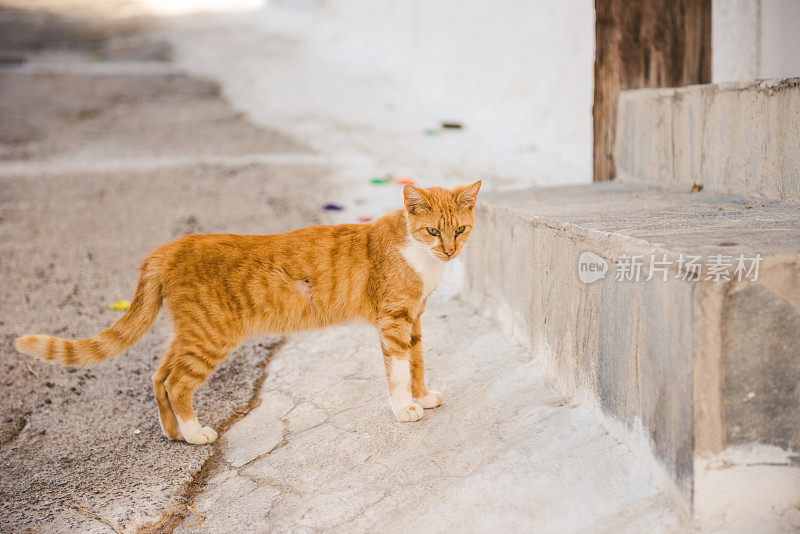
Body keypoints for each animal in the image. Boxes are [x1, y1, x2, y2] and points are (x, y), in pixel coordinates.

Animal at [17, 182, 482, 446]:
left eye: (460, 230)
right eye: (432, 231)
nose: (450, 250)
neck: (418, 254)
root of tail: (171, 246)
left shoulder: (413, 320)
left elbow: (417, 362)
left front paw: (422, 395)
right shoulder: (393, 321)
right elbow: (399, 368)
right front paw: (405, 407)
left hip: (189, 333)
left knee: (159, 375)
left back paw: (173, 433)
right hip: (211, 335)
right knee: (178, 383)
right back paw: (195, 434)